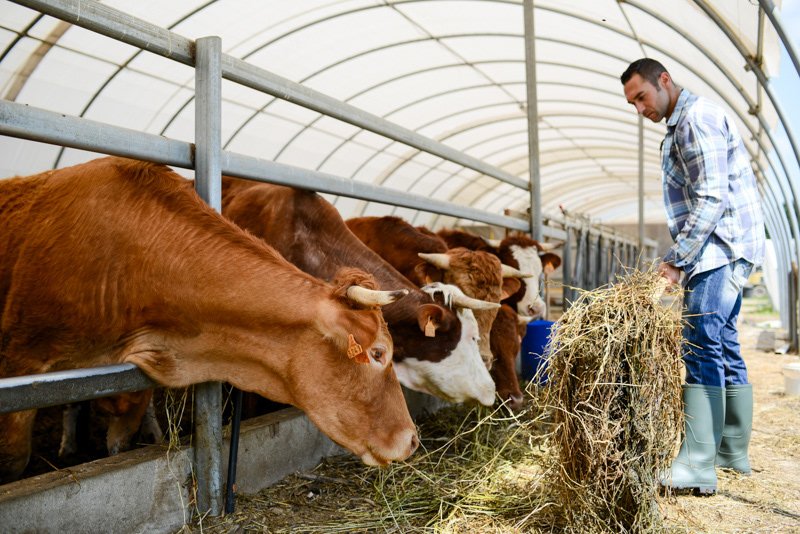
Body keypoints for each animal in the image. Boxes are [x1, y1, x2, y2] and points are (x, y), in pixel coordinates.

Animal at [1, 158, 418, 486]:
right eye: (378, 353)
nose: (412, 439)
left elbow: (118, 439)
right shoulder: (20, 361)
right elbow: (14, 459)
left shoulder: (133, 387)